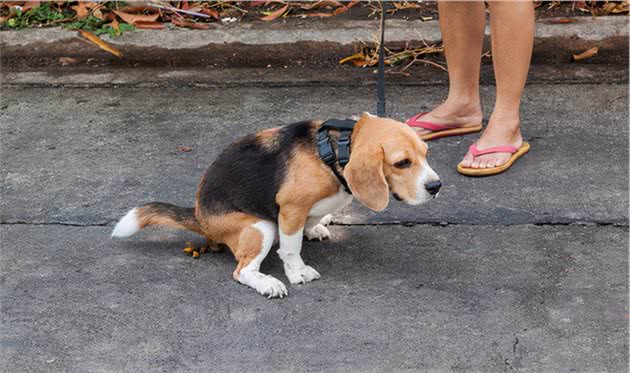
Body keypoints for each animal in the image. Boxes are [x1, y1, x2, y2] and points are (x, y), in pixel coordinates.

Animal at [111, 112, 442, 298]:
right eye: (402, 163)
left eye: (426, 154)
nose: (436, 187)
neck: (334, 151)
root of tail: (199, 215)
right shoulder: (290, 208)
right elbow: (291, 248)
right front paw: (297, 272)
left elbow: (310, 222)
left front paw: (314, 228)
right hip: (260, 227)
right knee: (242, 271)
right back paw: (268, 284)